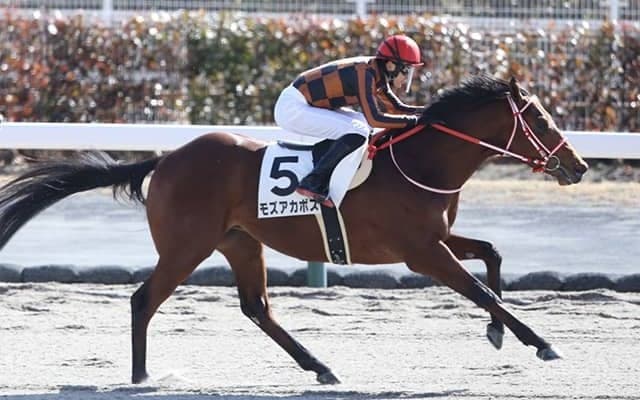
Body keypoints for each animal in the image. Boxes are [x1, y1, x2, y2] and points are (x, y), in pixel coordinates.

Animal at [0, 75, 588, 385]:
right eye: (539, 121)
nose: (578, 166)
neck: (423, 162)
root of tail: (165, 159)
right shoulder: (421, 253)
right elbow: (483, 289)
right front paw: (540, 342)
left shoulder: (435, 240)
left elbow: (491, 254)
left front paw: (497, 333)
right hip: (187, 246)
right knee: (144, 299)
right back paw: (142, 377)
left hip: (240, 243)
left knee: (256, 307)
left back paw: (320, 366)